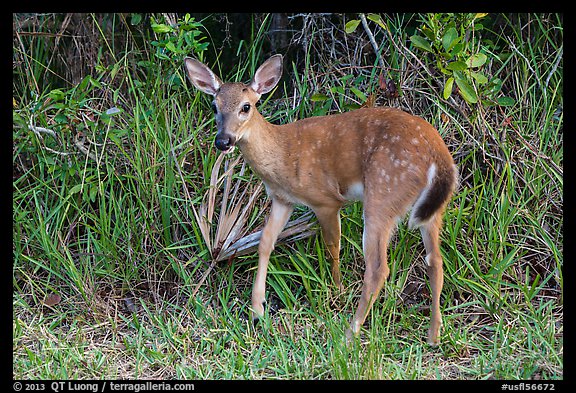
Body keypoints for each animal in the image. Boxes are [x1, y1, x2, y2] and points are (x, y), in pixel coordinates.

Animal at [183, 54, 454, 344]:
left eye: (246, 107)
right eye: (214, 106)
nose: (223, 141)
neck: (281, 155)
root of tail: (438, 155)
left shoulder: (325, 200)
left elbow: (332, 245)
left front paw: (337, 288)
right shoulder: (283, 199)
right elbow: (265, 243)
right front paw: (257, 310)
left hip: (383, 192)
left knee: (378, 268)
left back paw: (350, 333)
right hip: (432, 208)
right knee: (435, 261)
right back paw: (433, 335)